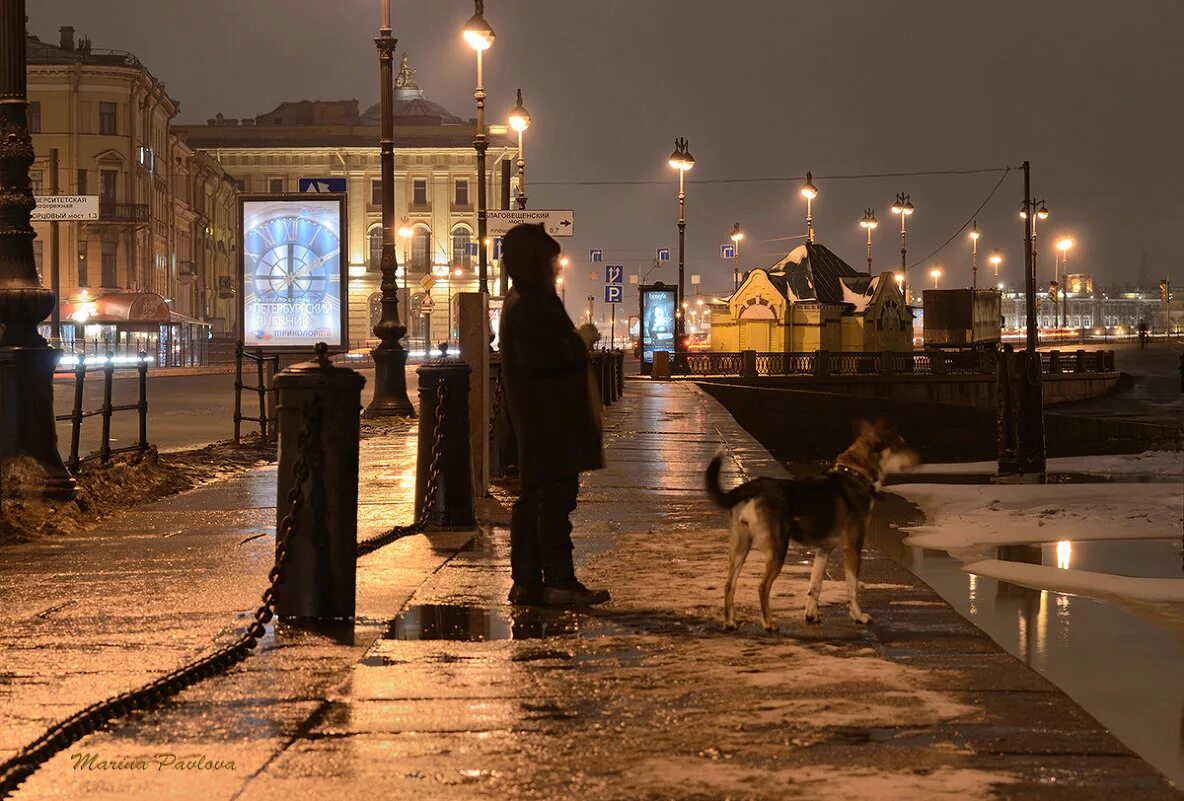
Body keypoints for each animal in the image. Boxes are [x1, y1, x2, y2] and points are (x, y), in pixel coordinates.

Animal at [700, 418, 914, 629]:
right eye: (900, 445)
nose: (918, 459)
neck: (856, 475)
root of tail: (755, 485)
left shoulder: (824, 549)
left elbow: (815, 585)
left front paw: (811, 615)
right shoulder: (853, 546)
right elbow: (852, 587)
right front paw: (858, 616)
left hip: (741, 546)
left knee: (729, 584)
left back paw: (730, 622)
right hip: (777, 549)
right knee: (762, 586)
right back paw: (769, 623)